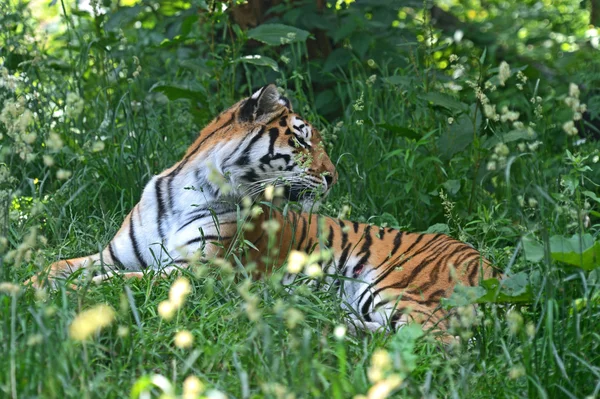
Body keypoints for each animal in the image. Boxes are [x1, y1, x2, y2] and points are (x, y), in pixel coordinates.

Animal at [28, 85, 494, 334]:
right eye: (302, 140)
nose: (333, 177)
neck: (191, 188)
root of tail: (492, 266)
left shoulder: (201, 270)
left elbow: (114, 283)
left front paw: (62, 296)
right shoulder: (114, 253)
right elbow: (59, 266)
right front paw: (28, 283)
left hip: (398, 291)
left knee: (445, 347)